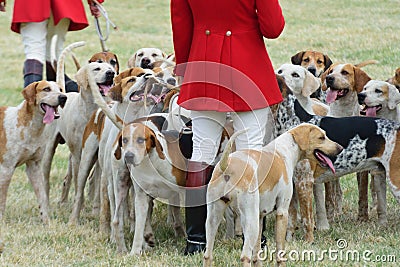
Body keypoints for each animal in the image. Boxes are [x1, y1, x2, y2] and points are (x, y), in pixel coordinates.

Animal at [0, 80, 67, 227]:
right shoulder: (6, 169)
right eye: (46, 89)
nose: (63, 97)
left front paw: (46, 222)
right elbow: (2, 200)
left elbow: (42, 197)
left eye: (60, 89)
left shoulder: (34, 167)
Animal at [205, 124, 342, 266]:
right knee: (245, 256)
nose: (341, 148)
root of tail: (227, 165)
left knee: (208, 255)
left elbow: (257, 254)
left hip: (213, 220)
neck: (283, 152)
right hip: (250, 222)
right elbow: (280, 250)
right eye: (321, 137)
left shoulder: (260, 217)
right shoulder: (282, 212)